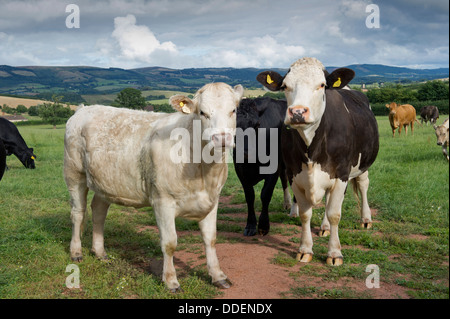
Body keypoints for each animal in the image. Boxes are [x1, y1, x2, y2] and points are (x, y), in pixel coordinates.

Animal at [64, 82, 243, 292]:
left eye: (233, 110)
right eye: (202, 112)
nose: (222, 139)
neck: (202, 170)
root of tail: (83, 109)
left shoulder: (212, 200)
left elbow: (211, 239)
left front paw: (218, 276)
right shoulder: (162, 201)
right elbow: (169, 243)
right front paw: (171, 281)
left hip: (105, 180)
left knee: (99, 211)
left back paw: (100, 252)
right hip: (74, 172)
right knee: (78, 213)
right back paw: (76, 251)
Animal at [234, 97, 294, 238]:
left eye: (257, 125)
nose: (246, 151)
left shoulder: (273, 167)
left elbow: (265, 194)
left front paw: (263, 226)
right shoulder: (239, 170)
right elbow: (250, 196)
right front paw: (250, 225)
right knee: (284, 178)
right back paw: (287, 203)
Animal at [256, 57, 380, 268]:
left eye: (321, 85)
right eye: (285, 86)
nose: (298, 112)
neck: (311, 148)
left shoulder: (341, 174)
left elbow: (334, 214)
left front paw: (334, 253)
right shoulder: (294, 174)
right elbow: (306, 214)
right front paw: (305, 250)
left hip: (361, 164)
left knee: (363, 186)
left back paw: (365, 219)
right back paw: (324, 227)